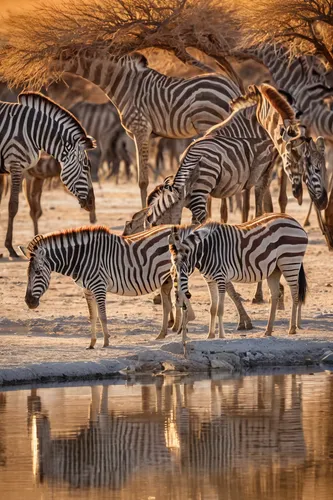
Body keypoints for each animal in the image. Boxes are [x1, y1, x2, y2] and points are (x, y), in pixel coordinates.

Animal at [0, 92, 94, 260]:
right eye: (86, 167)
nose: (91, 203)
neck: (32, 132)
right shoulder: (16, 164)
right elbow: (13, 206)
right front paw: (10, 247)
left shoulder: (24, 170)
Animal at [18, 224, 253, 348]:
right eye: (26, 274)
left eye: (37, 273)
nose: (29, 302)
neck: (82, 258)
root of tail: (184, 228)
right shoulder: (87, 290)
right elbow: (92, 316)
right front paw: (92, 343)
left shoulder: (98, 286)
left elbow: (102, 316)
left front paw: (105, 341)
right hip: (169, 276)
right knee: (171, 302)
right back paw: (165, 333)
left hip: (180, 271)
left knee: (192, 294)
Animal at [58, 49, 241, 206]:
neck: (124, 84)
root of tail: (232, 86)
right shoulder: (138, 135)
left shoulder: (140, 129)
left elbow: (142, 181)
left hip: (209, 124)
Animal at [169, 214, 308, 340]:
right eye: (171, 272)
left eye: (184, 266)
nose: (180, 297)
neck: (206, 251)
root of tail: (293, 220)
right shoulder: (210, 280)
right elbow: (212, 309)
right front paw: (210, 335)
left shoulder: (220, 278)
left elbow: (220, 309)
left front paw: (221, 335)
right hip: (275, 269)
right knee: (275, 294)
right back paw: (268, 331)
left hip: (289, 261)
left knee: (294, 292)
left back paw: (292, 328)